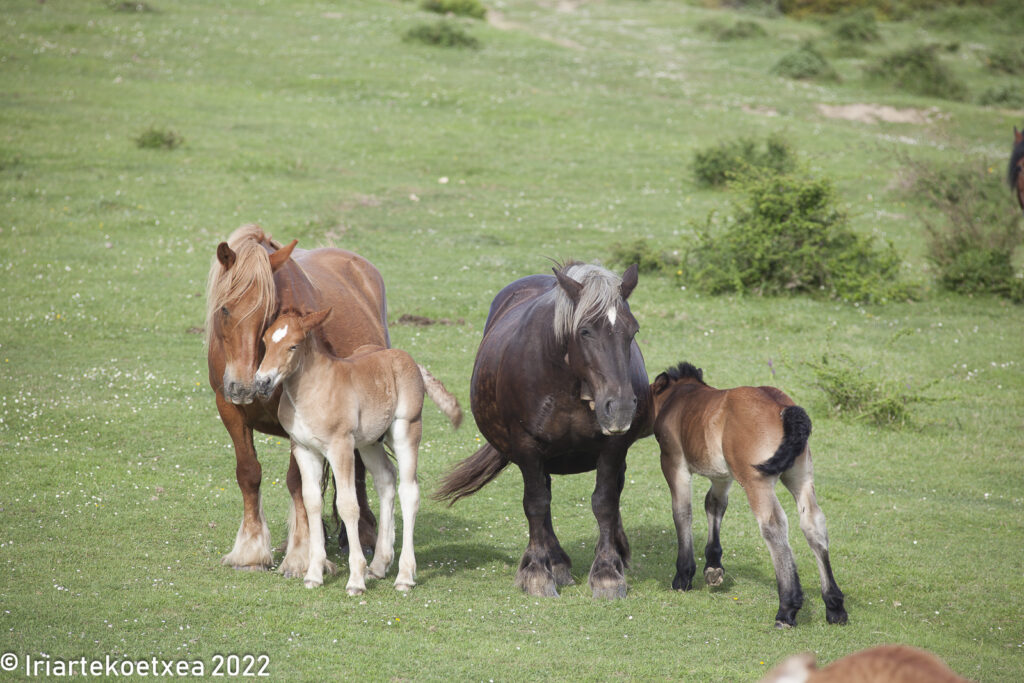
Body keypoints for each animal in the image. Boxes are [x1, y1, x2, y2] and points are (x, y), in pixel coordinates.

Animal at [204, 224, 387, 573]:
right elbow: (248, 473)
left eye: (268, 313)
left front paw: (301, 555)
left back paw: (363, 536)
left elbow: (297, 483)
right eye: (225, 308)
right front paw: (250, 551)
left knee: (356, 469)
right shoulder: (229, 409)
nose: (244, 386)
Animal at [253, 309, 462, 593]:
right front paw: (314, 575)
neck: (311, 391)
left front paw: (355, 579)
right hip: (369, 444)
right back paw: (379, 565)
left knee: (409, 492)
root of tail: (409, 360)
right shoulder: (304, 450)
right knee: (386, 479)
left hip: (406, 430)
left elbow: (348, 505)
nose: (262, 382)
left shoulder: (340, 447)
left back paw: (404, 576)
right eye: (265, 342)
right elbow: (312, 502)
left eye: (293, 345)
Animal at [436, 262, 651, 598]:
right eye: (585, 331)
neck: (568, 383)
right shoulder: (527, 447)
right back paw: (557, 562)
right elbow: (536, 504)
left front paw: (607, 572)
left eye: (633, 331)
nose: (620, 407)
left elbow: (605, 502)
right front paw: (537, 572)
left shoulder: (612, 448)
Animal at [655, 362, 847, 630]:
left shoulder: (674, 464)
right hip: (801, 477)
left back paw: (787, 609)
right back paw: (834, 606)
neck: (680, 396)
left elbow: (682, 512)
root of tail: (782, 408)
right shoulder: (722, 476)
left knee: (774, 526)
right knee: (813, 524)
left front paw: (683, 576)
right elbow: (714, 505)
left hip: (757, 482)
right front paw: (713, 567)